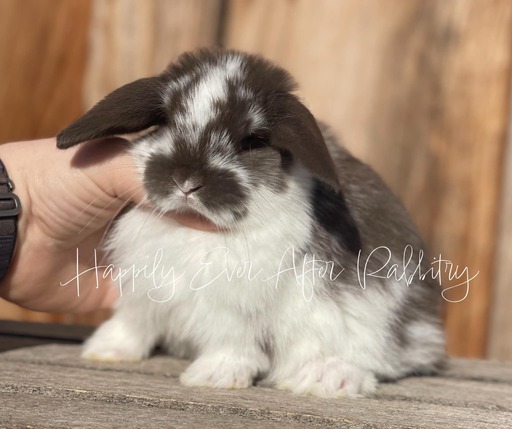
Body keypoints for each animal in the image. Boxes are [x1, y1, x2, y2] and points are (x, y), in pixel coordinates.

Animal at [57, 48, 444, 396]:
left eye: (252, 142)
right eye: (164, 122)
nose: (186, 181)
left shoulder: (234, 307)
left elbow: (231, 343)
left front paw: (213, 376)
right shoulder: (143, 290)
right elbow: (133, 323)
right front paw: (106, 350)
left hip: (371, 319)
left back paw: (325, 379)